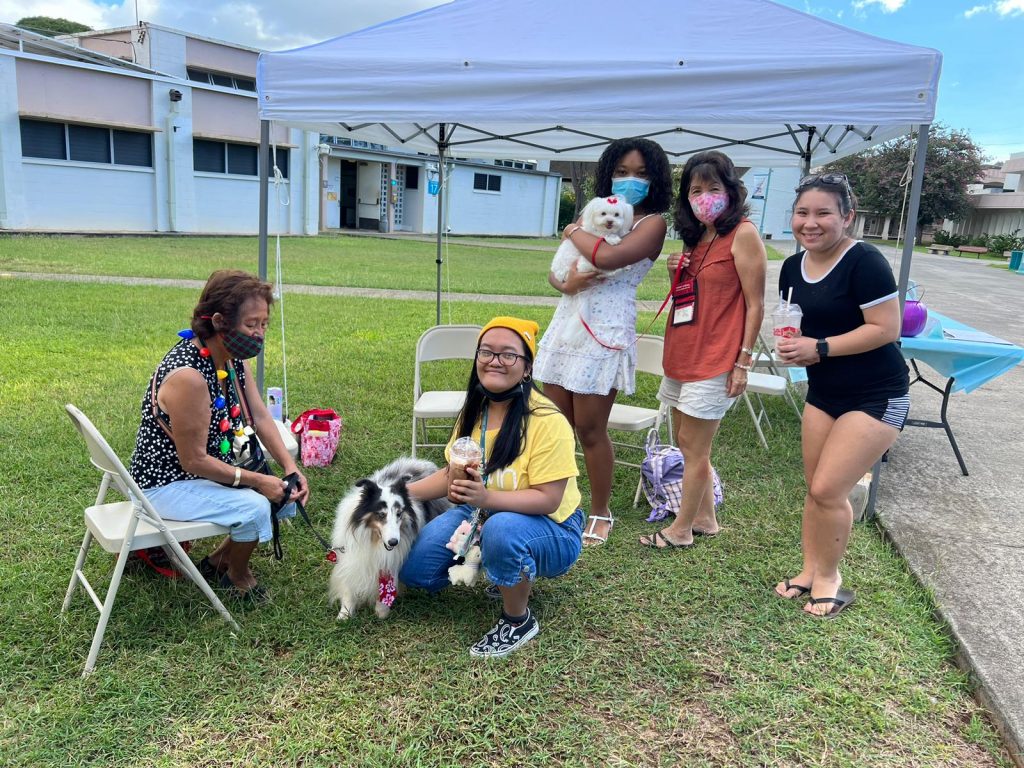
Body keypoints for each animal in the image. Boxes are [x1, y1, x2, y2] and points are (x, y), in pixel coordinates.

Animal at [327, 460, 448, 622]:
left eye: (399, 513)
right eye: (381, 514)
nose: (393, 542)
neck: (374, 539)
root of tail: (423, 463)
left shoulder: (392, 560)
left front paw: (381, 610)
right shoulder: (351, 557)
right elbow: (349, 583)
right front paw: (344, 614)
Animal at [552, 195, 630, 348]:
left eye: (616, 214)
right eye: (603, 214)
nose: (610, 221)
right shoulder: (596, 237)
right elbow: (606, 236)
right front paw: (613, 239)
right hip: (583, 263)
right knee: (601, 270)